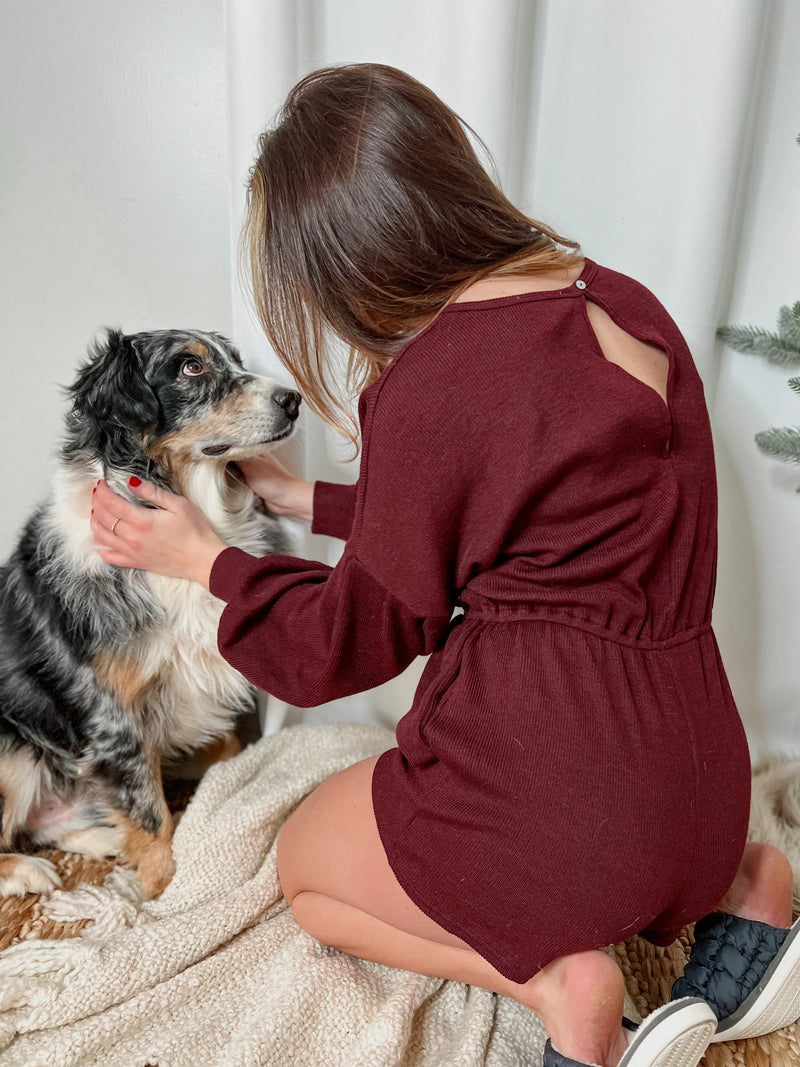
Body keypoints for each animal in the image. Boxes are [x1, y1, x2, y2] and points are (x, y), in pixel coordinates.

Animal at [0, 328, 300, 896]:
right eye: (189, 368)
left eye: (236, 359)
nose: (292, 400)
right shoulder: (113, 714)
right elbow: (148, 810)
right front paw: (158, 891)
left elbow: (227, 757)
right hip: (13, 746)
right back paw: (27, 870)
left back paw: (100, 840)